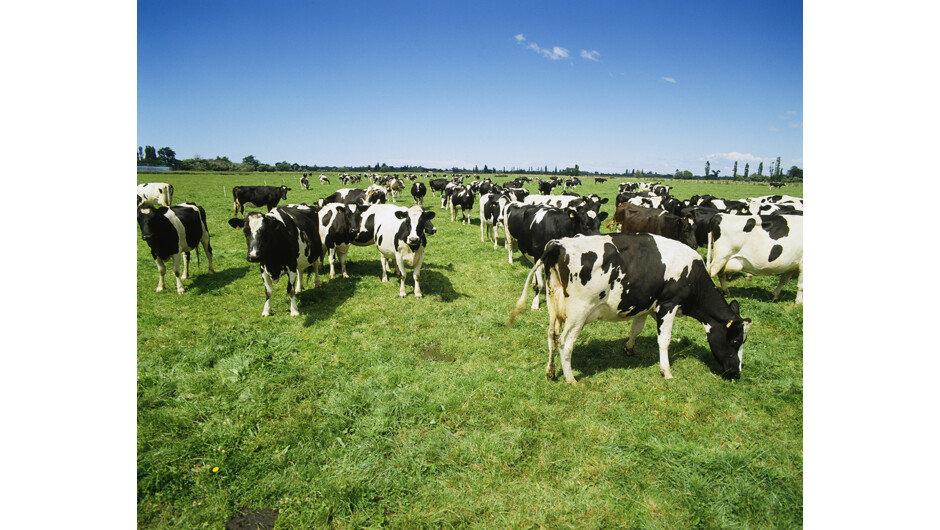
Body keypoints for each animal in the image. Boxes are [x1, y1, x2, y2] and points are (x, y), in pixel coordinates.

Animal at [510, 233, 752, 382]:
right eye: (735, 341)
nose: (736, 371)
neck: (693, 273)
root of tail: (560, 244)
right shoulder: (669, 304)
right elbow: (664, 340)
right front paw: (666, 371)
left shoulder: (645, 304)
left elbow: (636, 328)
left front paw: (629, 348)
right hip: (579, 312)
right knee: (565, 342)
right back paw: (571, 378)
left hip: (555, 305)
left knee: (552, 335)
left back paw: (551, 372)